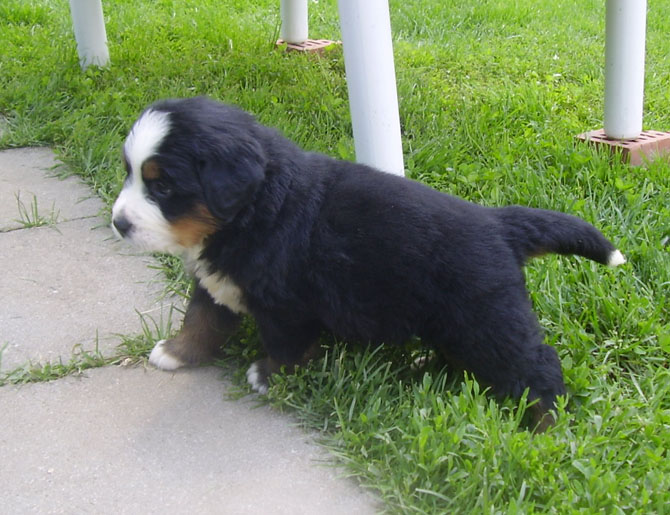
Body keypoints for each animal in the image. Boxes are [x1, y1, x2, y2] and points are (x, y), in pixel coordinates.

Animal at [111, 96, 625, 430]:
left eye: (162, 186)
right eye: (130, 173)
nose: (118, 223)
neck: (256, 210)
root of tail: (498, 223)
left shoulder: (286, 305)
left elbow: (285, 345)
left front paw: (268, 376)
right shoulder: (216, 280)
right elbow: (201, 318)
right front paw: (178, 352)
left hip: (489, 319)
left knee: (537, 365)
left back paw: (544, 428)